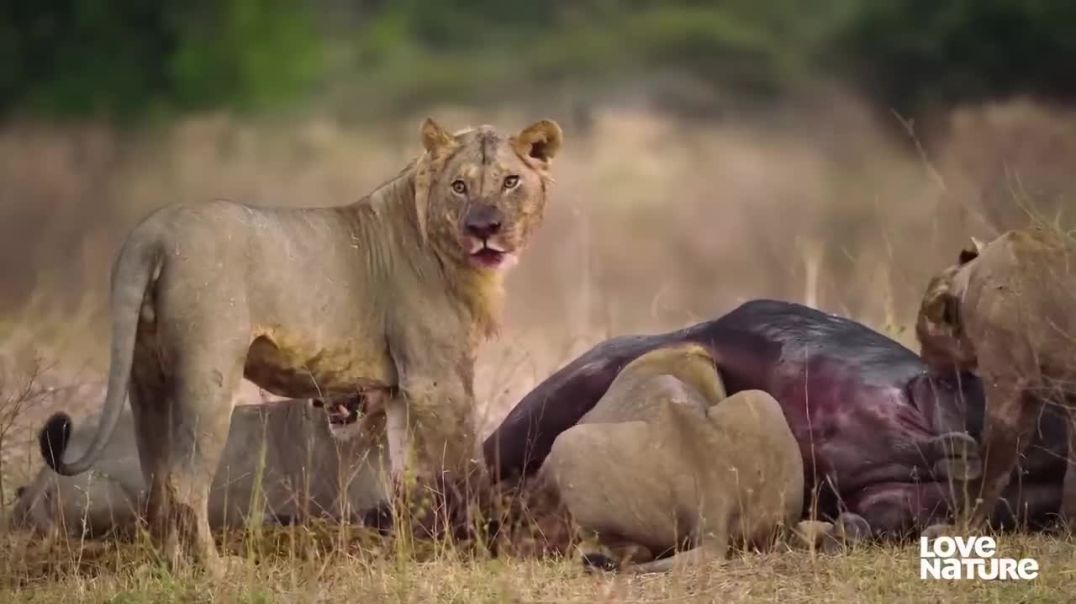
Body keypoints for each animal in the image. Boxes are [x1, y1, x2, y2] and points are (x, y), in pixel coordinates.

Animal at [916, 226, 1076, 527]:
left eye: (922, 337)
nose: (924, 361)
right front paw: (1066, 526)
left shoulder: (1011, 389)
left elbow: (991, 469)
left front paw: (964, 525)